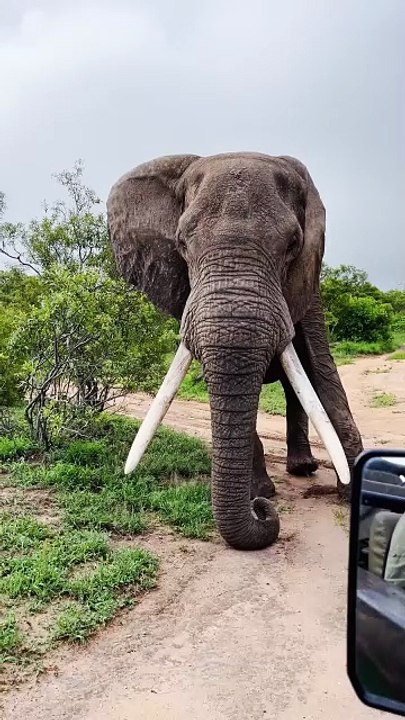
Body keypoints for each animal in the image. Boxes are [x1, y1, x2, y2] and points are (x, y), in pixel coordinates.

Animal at [107, 152, 363, 551]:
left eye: (293, 244)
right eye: (181, 244)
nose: (262, 512)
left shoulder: (308, 281)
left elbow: (320, 369)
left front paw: (353, 490)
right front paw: (263, 493)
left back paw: (303, 469)